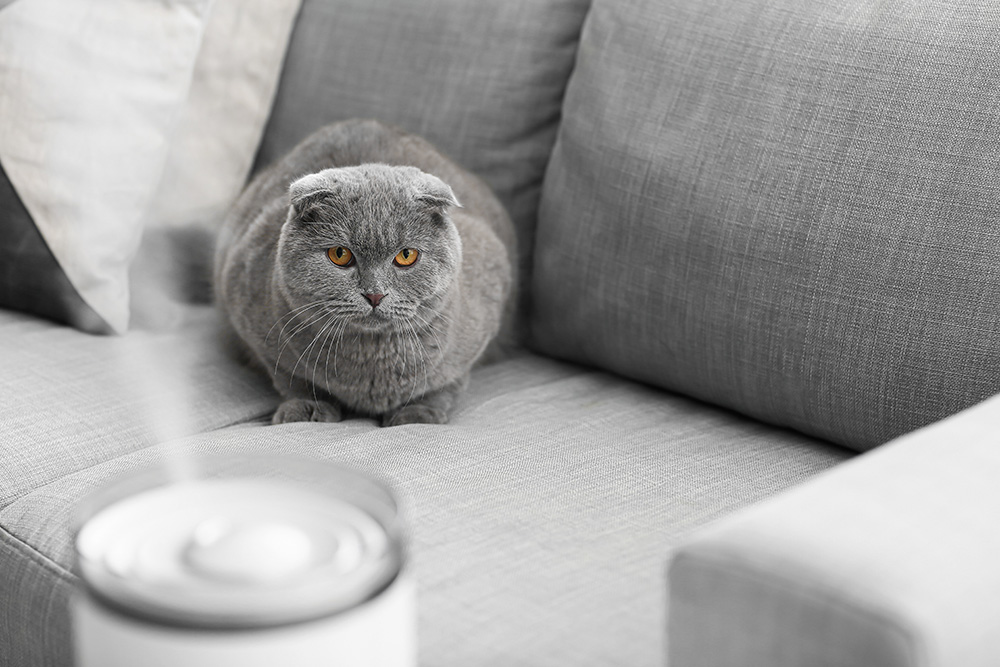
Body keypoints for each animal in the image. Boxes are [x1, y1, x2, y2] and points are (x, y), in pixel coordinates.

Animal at [216, 118, 520, 426]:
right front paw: (306, 408)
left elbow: (445, 385)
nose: (375, 294)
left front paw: (417, 415)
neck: (371, 364)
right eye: (340, 255)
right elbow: (292, 379)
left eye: (406, 256)